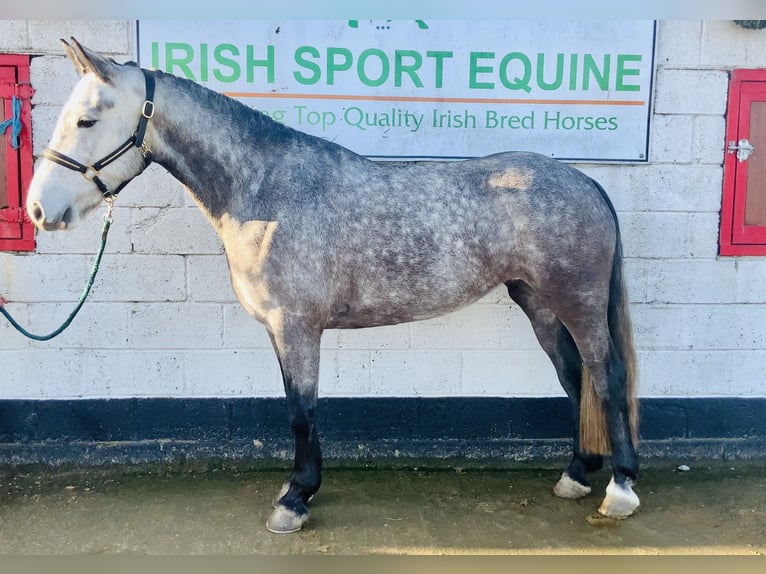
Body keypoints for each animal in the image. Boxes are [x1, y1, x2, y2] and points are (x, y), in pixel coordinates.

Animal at [25, 38, 640, 533]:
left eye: (86, 120)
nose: (39, 210)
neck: (265, 191)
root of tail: (585, 181)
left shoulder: (296, 326)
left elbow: (303, 410)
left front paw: (295, 500)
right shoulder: (281, 330)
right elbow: (297, 406)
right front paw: (296, 490)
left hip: (578, 301)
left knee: (606, 375)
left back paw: (620, 488)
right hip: (538, 301)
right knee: (575, 377)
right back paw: (576, 475)